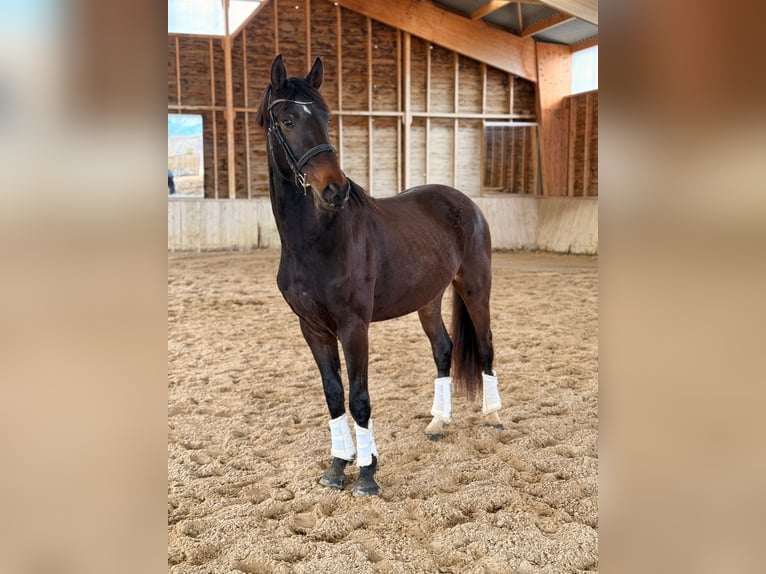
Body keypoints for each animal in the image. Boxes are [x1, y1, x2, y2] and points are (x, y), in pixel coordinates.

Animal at [256, 55, 503, 497]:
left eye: (326, 117)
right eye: (286, 119)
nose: (334, 190)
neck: (317, 240)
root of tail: (465, 203)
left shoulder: (354, 326)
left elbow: (359, 397)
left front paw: (367, 473)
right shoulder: (312, 328)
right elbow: (334, 395)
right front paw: (337, 466)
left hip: (475, 288)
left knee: (486, 344)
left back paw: (492, 415)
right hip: (428, 299)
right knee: (443, 350)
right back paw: (438, 421)